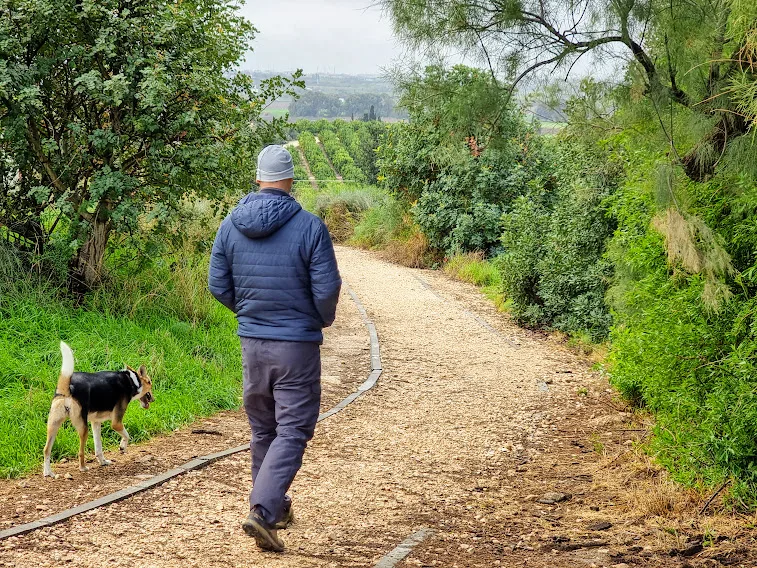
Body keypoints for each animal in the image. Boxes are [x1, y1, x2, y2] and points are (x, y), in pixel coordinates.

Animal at [42, 344, 154, 478]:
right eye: (150, 382)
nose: (153, 399)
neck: (132, 380)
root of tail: (66, 387)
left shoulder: (96, 423)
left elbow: (98, 448)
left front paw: (103, 462)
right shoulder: (116, 423)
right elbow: (127, 435)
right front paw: (122, 447)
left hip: (53, 425)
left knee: (46, 449)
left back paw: (47, 472)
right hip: (83, 428)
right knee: (80, 452)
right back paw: (83, 468)